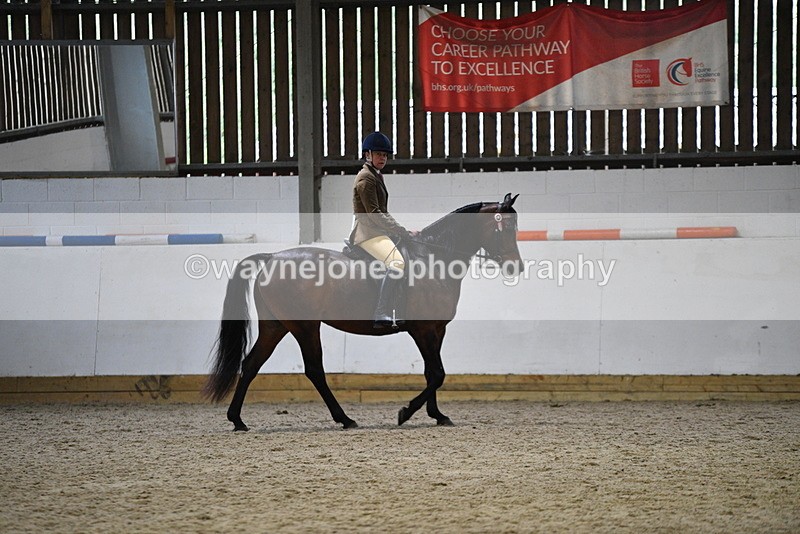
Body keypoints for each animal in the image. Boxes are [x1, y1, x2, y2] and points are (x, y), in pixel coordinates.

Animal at [203, 193, 523, 431]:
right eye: (505, 228)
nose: (515, 267)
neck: (433, 258)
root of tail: (272, 257)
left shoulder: (436, 329)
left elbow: (432, 372)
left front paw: (438, 415)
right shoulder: (422, 329)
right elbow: (437, 373)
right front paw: (406, 412)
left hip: (275, 326)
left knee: (251, 364)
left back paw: (237, 420)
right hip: (304, 326)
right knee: (314, 370)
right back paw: (345, 419)